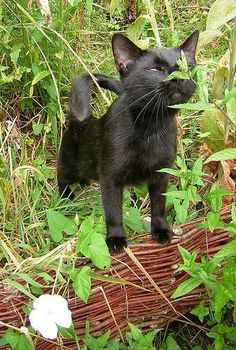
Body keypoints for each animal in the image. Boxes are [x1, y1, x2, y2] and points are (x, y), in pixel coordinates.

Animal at [57, 30, 199, 252]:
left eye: (187, 66)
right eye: (155, 69)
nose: (177, 78)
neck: (151, 127)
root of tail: (82, 119)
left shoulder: (161, 174)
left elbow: (158, 206)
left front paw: (161, 231)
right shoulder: (109, 178)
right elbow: (113, 211)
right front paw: (115, 239)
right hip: (69, 164)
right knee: (61, 178)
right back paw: (65, 199)